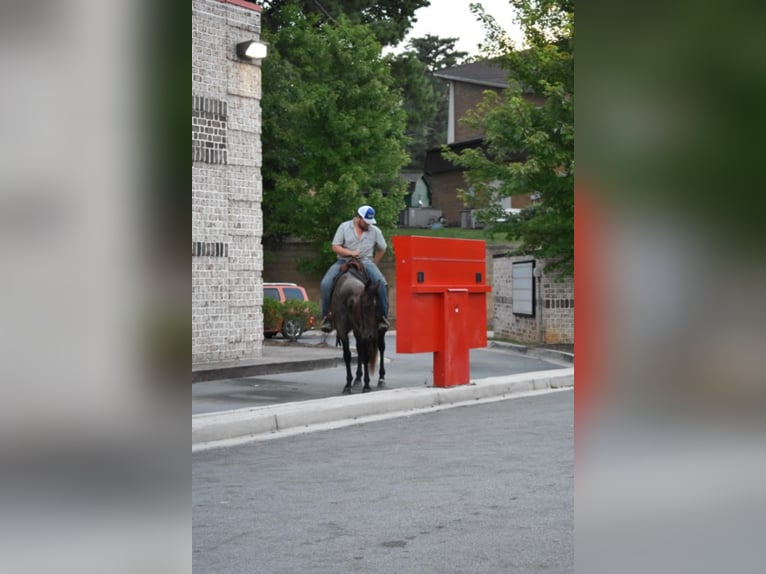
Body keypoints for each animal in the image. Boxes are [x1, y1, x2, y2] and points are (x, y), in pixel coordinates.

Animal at [332, 260, 388, 396]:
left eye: (377, 307)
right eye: (364, 305)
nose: (371, 335)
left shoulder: (362, 331)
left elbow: (366, 357)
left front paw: (367, 385)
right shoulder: (342, 330)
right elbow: (347, 355)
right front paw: (348, 385)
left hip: (377, 333)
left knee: (381, 348)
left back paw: (381, 378)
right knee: (359, 350)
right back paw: (357, 379)